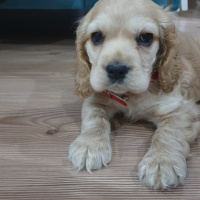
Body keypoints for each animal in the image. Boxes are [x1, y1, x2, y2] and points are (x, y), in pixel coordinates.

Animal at [68, 0, 200, 190]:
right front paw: (89, 145)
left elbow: (168, 133)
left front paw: (161, 163)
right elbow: (95, 118)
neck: (131, 95)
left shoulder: (182, 110)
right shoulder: (96, 100)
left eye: (146, 37)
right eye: (96, 36)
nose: (116, 69)